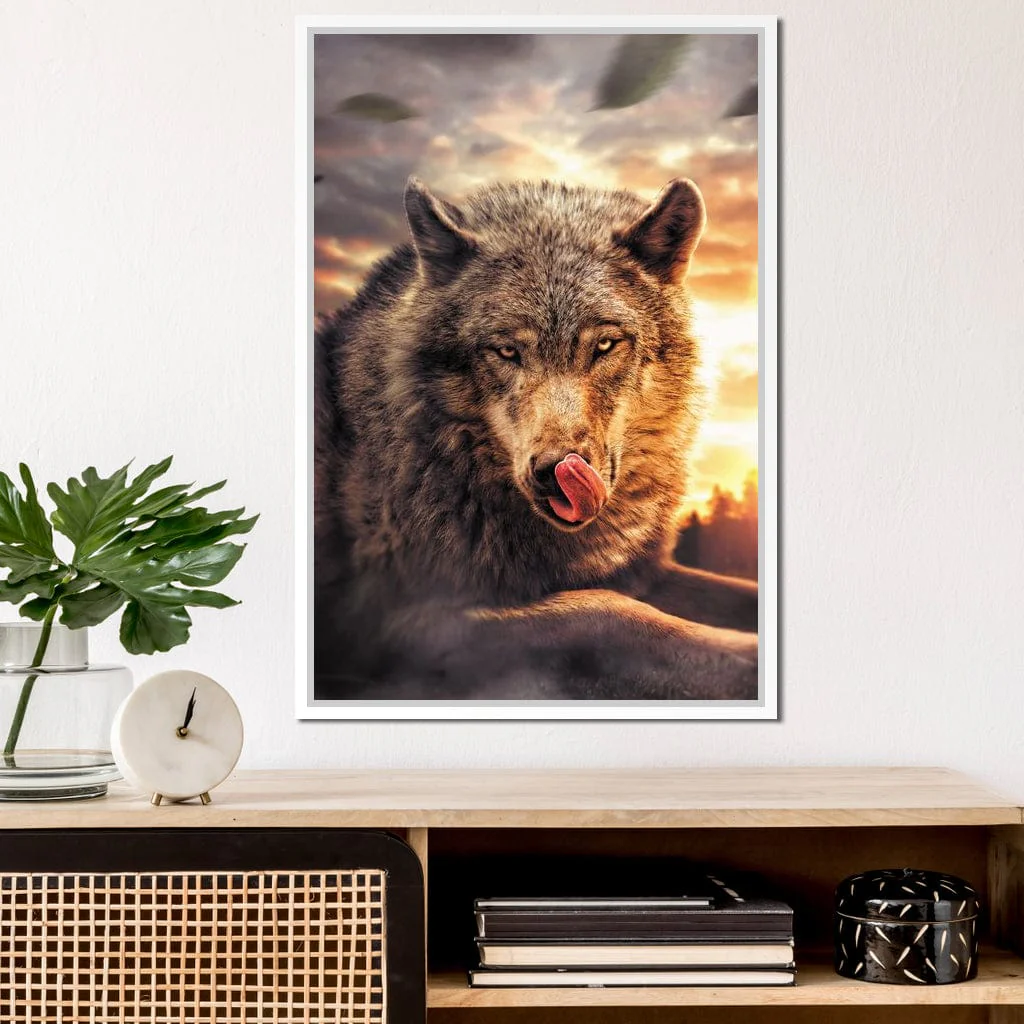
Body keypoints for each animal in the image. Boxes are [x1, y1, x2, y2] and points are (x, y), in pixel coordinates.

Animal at [314, 175, 758, 701]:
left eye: (605, 344)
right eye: (507, 351)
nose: (555, 472)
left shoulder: (643, 572)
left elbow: (739, 594)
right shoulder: (405, 624)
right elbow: (607, 614)